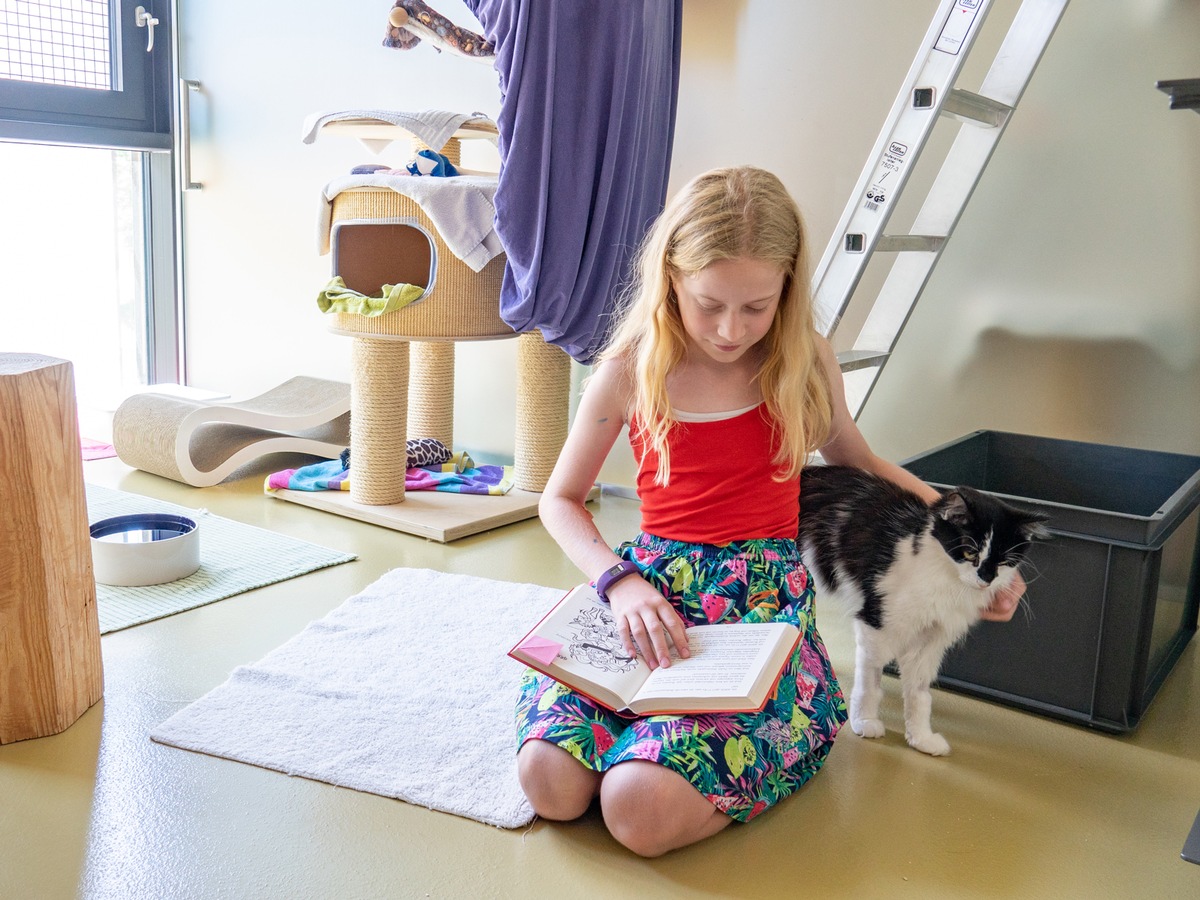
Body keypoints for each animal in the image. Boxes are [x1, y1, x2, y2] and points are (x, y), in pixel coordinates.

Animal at [801, 468, 1046, 758]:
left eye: (1004, 562)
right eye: (969, 553)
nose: (985, 580)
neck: (948, 582)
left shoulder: (931, 640)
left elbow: (919, 694)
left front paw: (920, 738)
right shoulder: (875, 623)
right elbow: (870, 682)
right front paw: (865, 721)